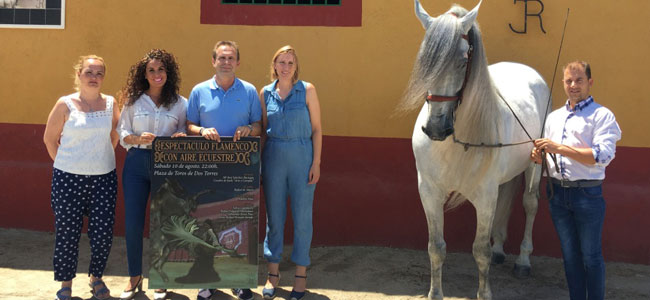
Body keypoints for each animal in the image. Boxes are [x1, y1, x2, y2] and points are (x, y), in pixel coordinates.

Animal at [402, 0, 548, 300]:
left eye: (462, 61)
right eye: (425, 62)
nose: (436, 128)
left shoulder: (485, 197)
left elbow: (479, 251)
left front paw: (485, 293)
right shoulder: (429, 192)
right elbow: (436, 247)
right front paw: (435, 293)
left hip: (534, 165)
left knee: (530, 204)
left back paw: (523, 261)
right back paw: (500, 250)